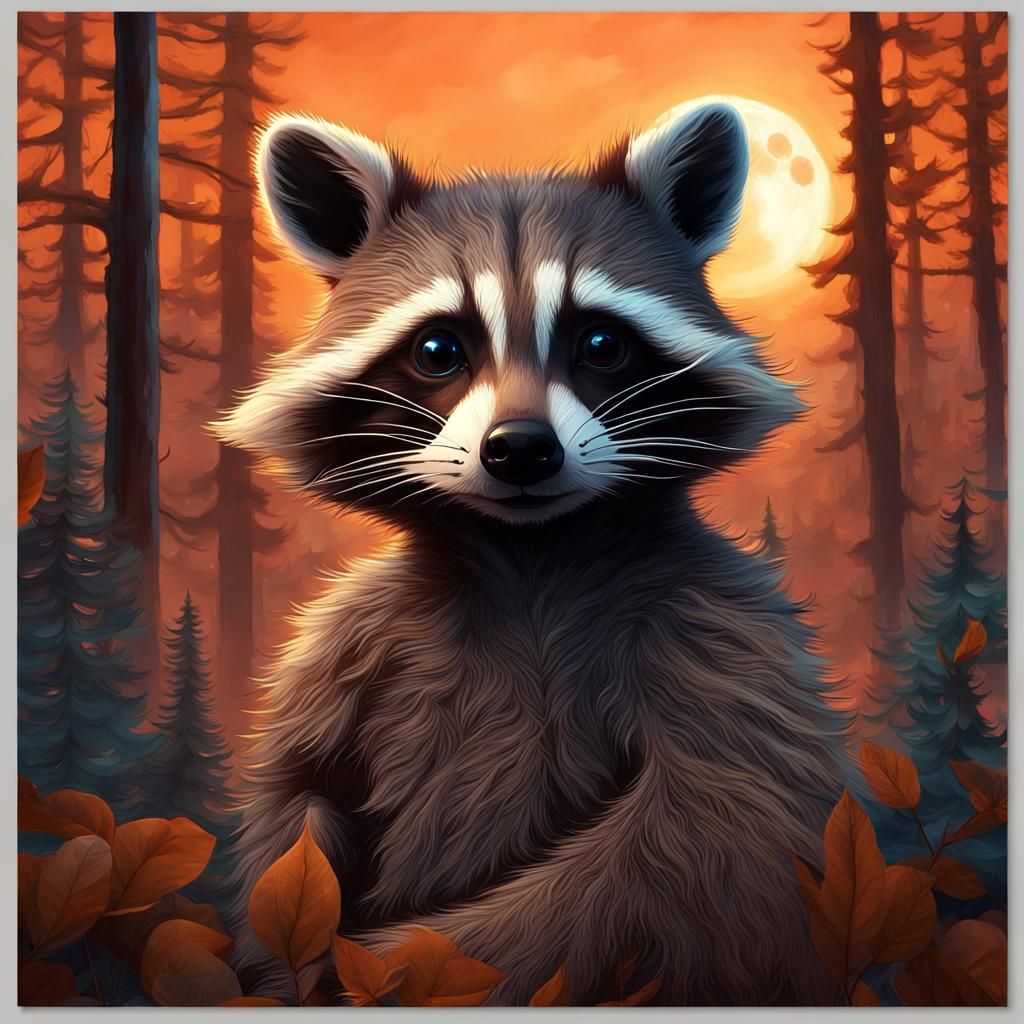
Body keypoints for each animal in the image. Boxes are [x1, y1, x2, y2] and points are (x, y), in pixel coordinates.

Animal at [215, 102, 850, 1006]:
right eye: (438, 351)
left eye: (602, 344)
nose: (520, 449)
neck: (533, 556)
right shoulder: (351, 647)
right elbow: (294, 814)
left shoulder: (725, 637)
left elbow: (702, 847)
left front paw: (395, 963)